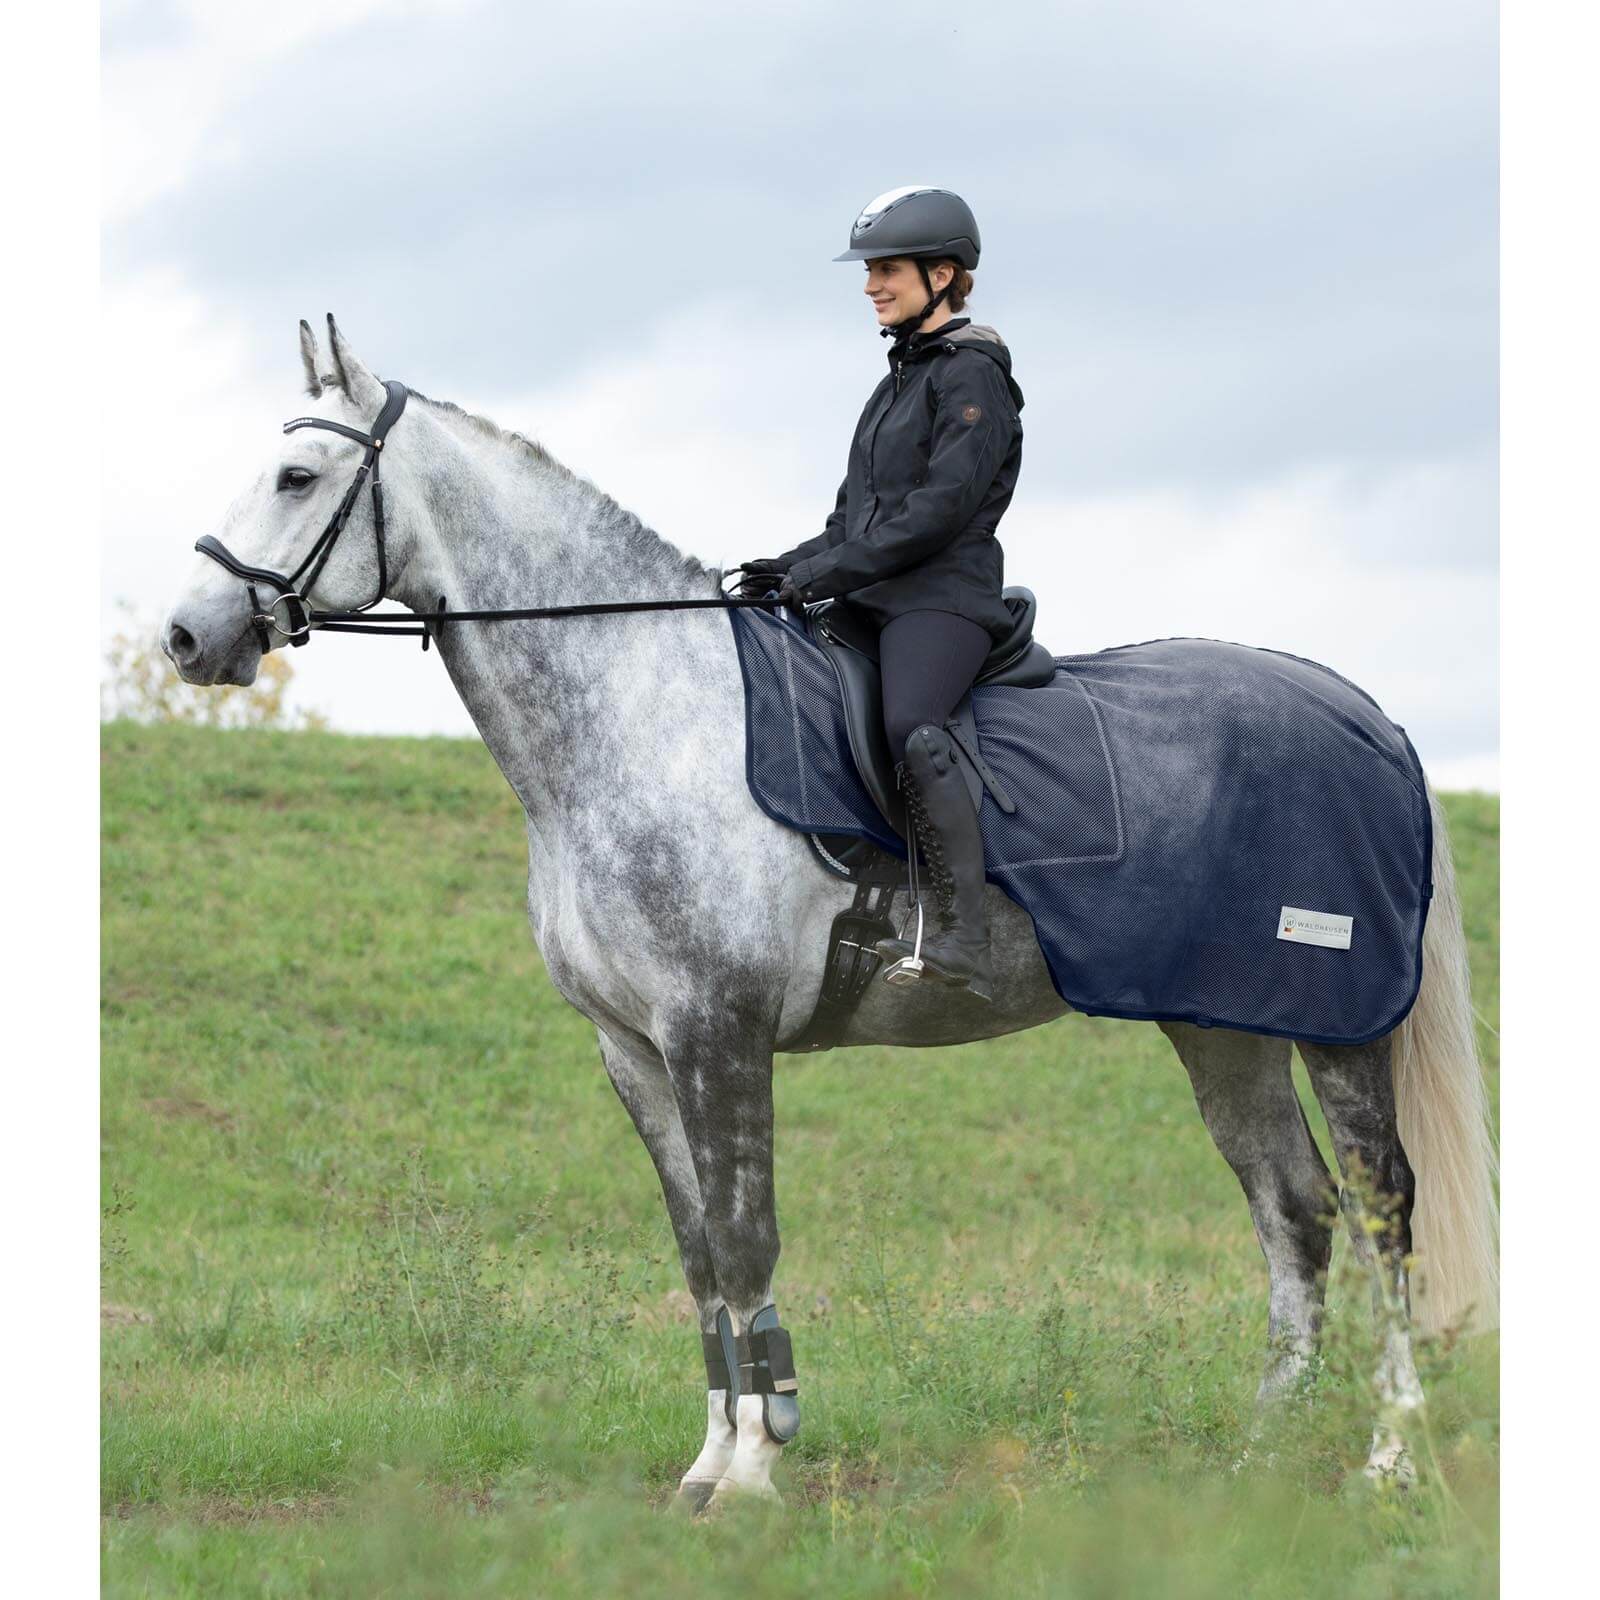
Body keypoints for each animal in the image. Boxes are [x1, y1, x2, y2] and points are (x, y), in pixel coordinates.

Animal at [161, 316, 1498, 1510]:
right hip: (1220, 1026)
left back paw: (1388, 1461)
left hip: (1335, 1024)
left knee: (1381, 1210)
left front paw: (757, 1468)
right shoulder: (634, 1050)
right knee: (1295, 1210)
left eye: (296, 475)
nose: (186, 635)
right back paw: (1260, 1460)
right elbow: (698, 1253)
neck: (643, 711)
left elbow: (746, 1240)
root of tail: (1362, 714)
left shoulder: (719, 1028)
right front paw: (707, 1465)